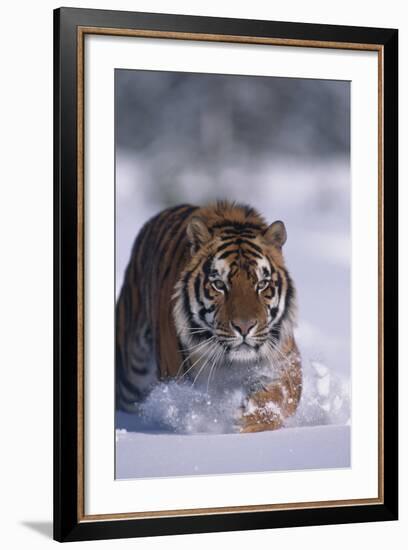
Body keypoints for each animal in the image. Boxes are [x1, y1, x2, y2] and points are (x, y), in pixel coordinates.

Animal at [116, 201, 302, 434]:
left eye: (261, 284)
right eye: (219, 285)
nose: (244, 328)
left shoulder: (283, 361)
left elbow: (279, 397)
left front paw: (250, 419)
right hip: (132, 373)